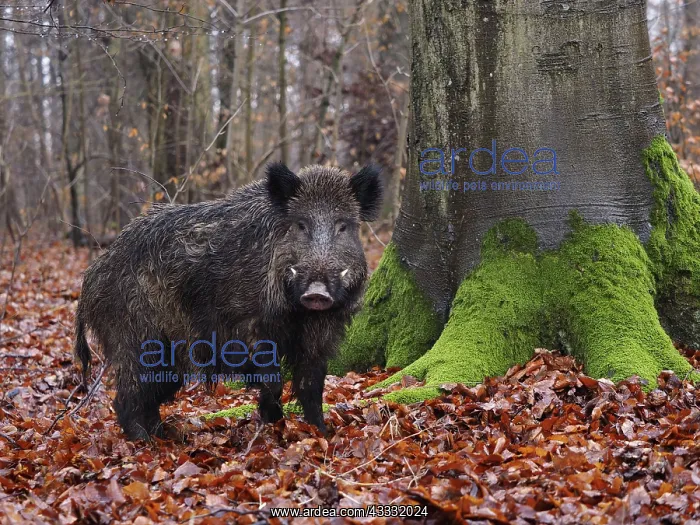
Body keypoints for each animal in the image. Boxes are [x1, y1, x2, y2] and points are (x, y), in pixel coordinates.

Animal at [74, 163, 382, 440]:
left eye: (343, 226)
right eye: (301, 224)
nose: (317, 292)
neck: (298, 313)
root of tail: (91, 277)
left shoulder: (322, 333)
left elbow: (312, 385)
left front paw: (321, 433)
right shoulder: (249, 326)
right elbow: (273, 380)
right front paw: (273, 423)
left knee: (149, 397)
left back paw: (163, 437)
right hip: (135, 338)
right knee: (126, 398)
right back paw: (146, 442)